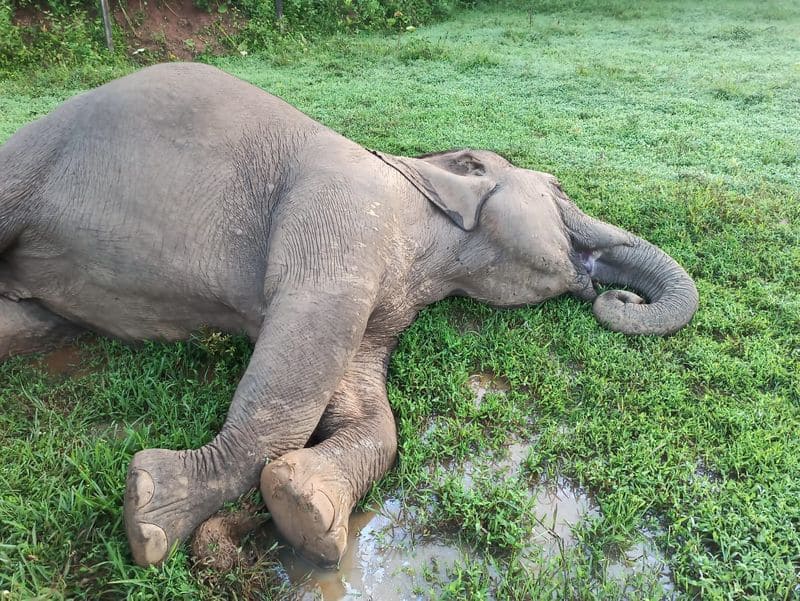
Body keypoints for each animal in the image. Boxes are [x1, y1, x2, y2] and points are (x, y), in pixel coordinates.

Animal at [0, 62, 696, 568]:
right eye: (558, 190)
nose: (619, 297)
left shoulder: (389, 292)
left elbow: (358, 394)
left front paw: (305, 508)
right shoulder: (343, 212)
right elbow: (300, 358)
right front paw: (150, 515)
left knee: (41, 320)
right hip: (30, 158)